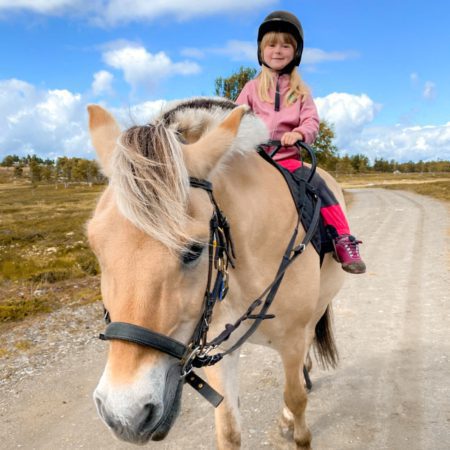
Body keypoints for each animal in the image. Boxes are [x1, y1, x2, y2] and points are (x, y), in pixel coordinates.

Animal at [87, 96, 344, 448]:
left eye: (194, 250)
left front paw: (292, 424)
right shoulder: (219, 351)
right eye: (95, 246)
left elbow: (296, 401)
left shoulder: (292, 341)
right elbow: (229, 429)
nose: (125, 415)